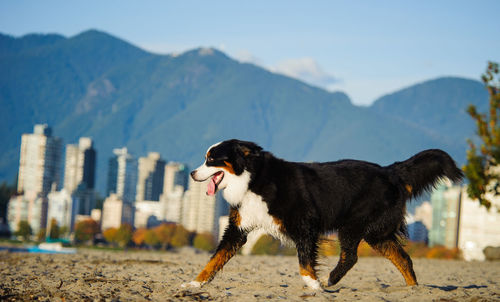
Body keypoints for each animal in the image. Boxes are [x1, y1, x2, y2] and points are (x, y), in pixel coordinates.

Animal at [183, 139, 460, 290]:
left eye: (211, 160)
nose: (192, 174)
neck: (253, 179)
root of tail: (390, 171)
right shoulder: (237, 230)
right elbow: (214, 260)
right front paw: (195, 283)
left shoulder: (304, 224)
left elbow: (305, 261)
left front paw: (314, 284)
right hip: (378, 234)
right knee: (403, 259)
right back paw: (413, 289)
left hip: (353, 225)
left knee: (351, 257)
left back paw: (329, 280)